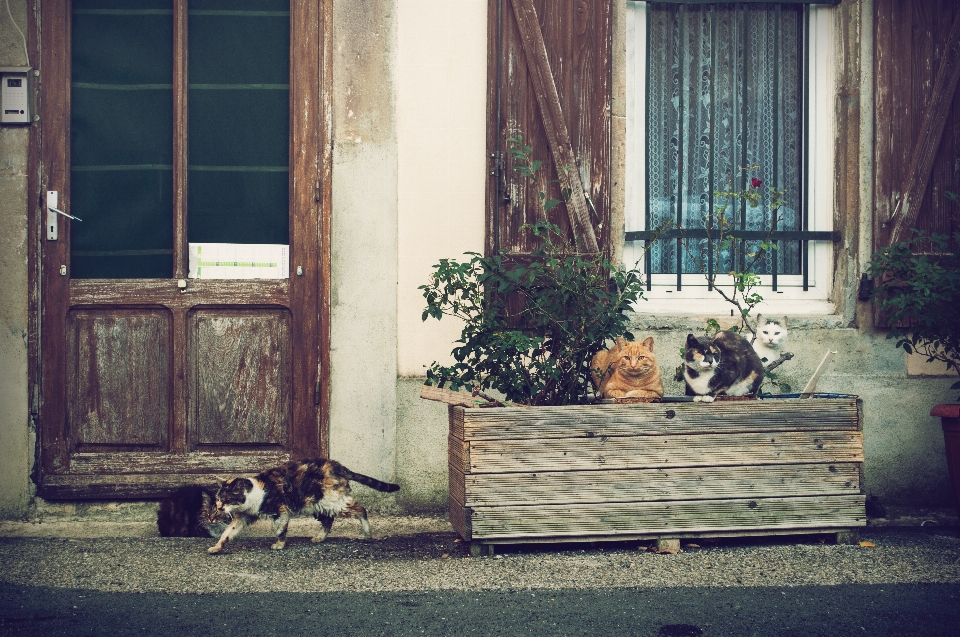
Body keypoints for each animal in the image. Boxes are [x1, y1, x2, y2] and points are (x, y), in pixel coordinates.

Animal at [206, 458, 402, 552]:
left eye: (226, 500)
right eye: (218, 500)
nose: (219, 508)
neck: (255, 494)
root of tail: (340, 467)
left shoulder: (281, 511)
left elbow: (280, 530)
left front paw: (279, 545)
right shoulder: (242, 518)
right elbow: (227, 533)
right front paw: (217, 547)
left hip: (331, 501)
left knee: (360, 509)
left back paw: (367, 533)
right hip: (318, 505)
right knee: (329, 521)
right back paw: (320, 537)